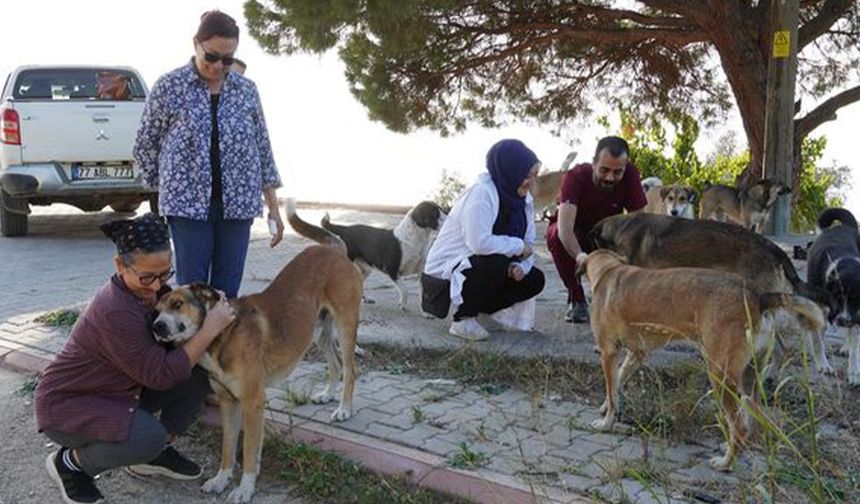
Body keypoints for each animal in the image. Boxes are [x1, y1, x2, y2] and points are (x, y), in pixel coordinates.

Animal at [151, 221, 360, 504]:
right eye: (156, 311)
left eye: (177, 304)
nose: (157, 326)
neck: (220, 335)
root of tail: (333, 249)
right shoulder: (228, 403)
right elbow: (228, 448)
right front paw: (221, 479)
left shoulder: (252, 403)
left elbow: (249, 451)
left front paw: (245, 488)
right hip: (317, 332)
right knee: (336, 363)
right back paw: (328, 394)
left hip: (346, 325)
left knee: (350, 368)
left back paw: (344, 408)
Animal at [576, 250, 828, 470]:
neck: (609, 270)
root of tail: (758, 296)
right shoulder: (636, 354)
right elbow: (617, 382)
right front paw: (607, 406)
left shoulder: (608, 352)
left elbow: (611, 388)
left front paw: (607, 422)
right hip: (749, 377)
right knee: (751, 420)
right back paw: (731, 446)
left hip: (720, 375)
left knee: (740, 426)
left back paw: (725, 464)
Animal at [808, 207, 860, 384]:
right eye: (837, 298)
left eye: (856, 300)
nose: (843, 321)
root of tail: (845, 226)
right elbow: (817, 339)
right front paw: (822, 364)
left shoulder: (856, 314)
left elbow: (855, 346)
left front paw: (854, 373)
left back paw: (845, 347)